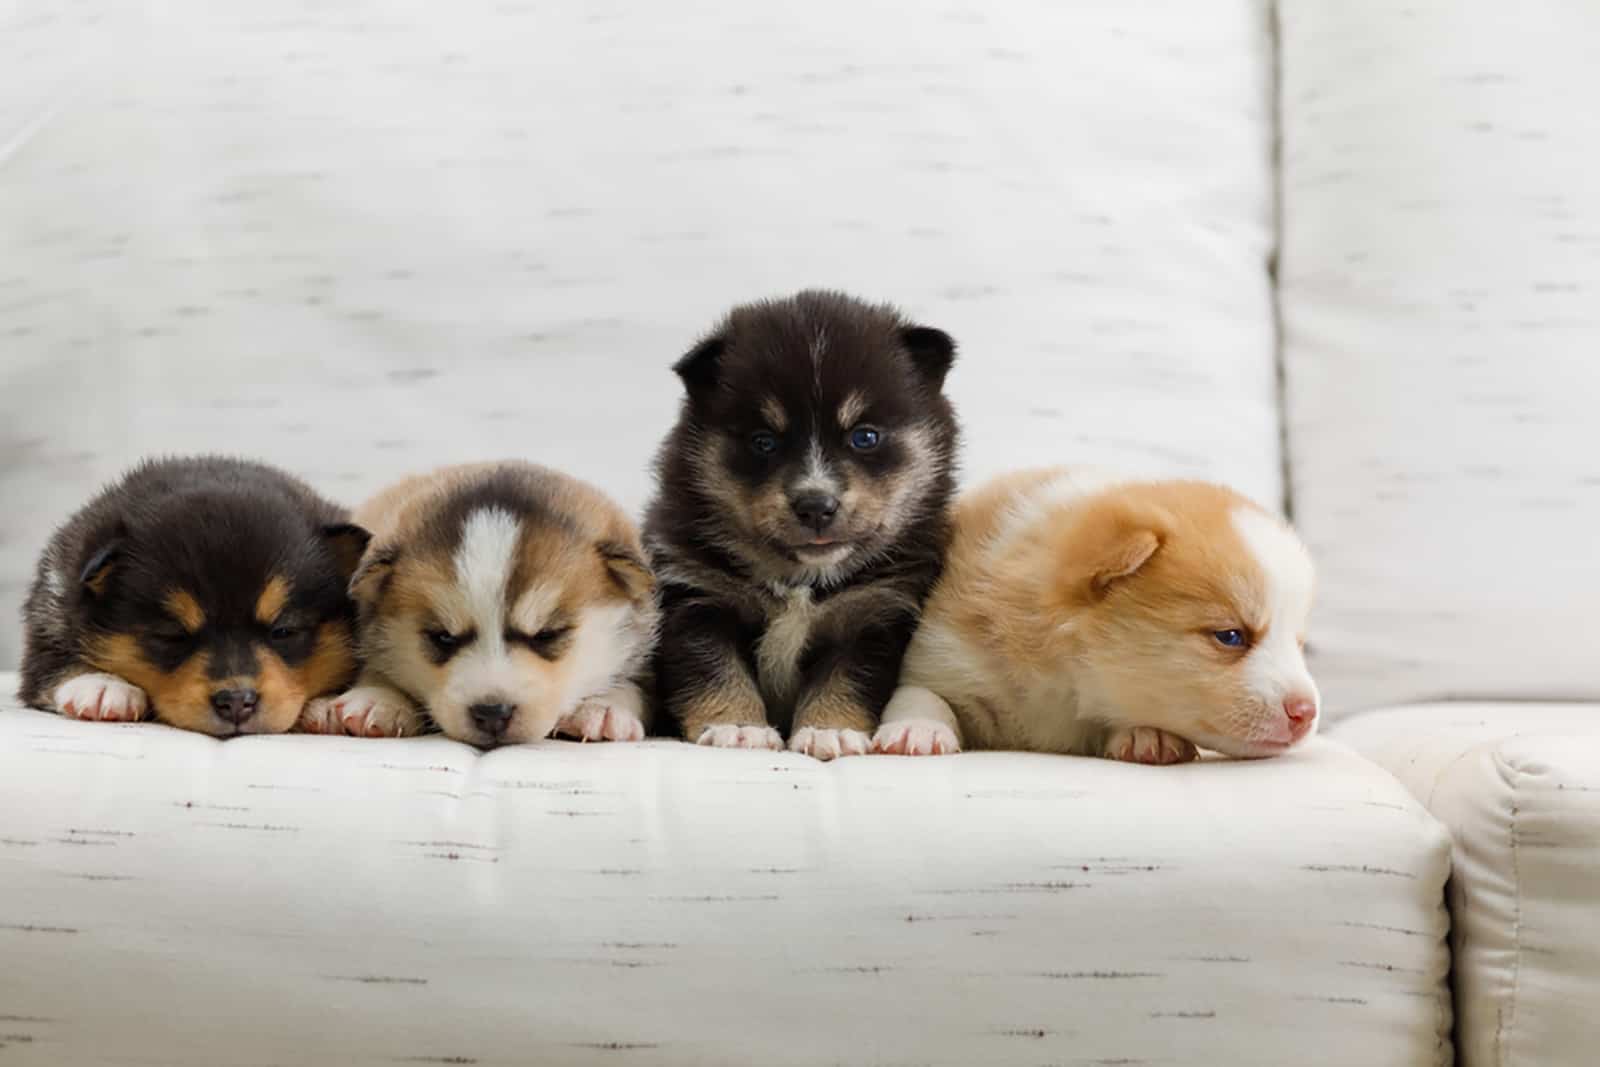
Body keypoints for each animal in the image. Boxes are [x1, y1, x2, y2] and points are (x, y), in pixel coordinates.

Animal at [18, 454, 368, 739]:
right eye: (173, 636)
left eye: (284, 630)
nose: (236, 702)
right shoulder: (52, 606)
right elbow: (52, 662)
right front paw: (102, 687)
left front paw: (326, 705)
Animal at [646, 292, 960, 758]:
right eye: (763, 442)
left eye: (865, 436)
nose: (815, 505)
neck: (802, 580)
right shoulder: (697, 596)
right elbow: (716, 669)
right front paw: (737, 727)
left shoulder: (872, 614)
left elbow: (846, 679)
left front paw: (829, 730)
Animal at [883, 470, 1318, 764]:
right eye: (1229, 636)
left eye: (1298, 644)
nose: (1307, 712)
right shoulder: (941, 649)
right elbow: (923, 692)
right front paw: (917, 728)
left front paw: (1148, 734)